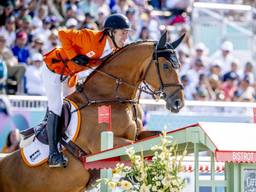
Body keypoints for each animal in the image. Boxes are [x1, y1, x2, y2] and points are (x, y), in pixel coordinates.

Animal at [0, 30, 184, 191]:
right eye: (166, 66)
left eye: (179, 65)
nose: (178, 103)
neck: (110, 97)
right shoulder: (101, 144)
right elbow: (134, 148)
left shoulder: (138, 134)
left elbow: (158, 140)